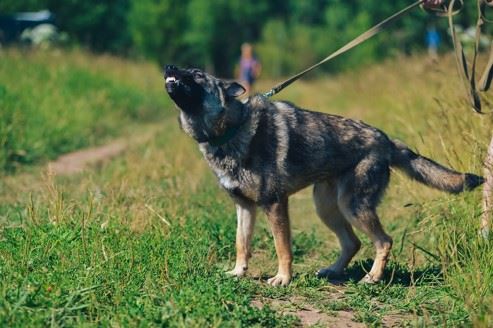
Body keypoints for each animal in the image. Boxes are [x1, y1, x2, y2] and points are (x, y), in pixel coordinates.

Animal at [162, 65, 484, 286]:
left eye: (196, 74)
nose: (168, 67)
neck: (231, 130)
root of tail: (386, 140)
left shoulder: (274, 205)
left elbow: (282, 247)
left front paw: (283, 279)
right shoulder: (245, 208)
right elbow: (242, 244)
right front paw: (238, 272)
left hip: (353, 207)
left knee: (383, 241)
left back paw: (372, 278)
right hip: (328, 208)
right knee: (353, 243)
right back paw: (333, 271)